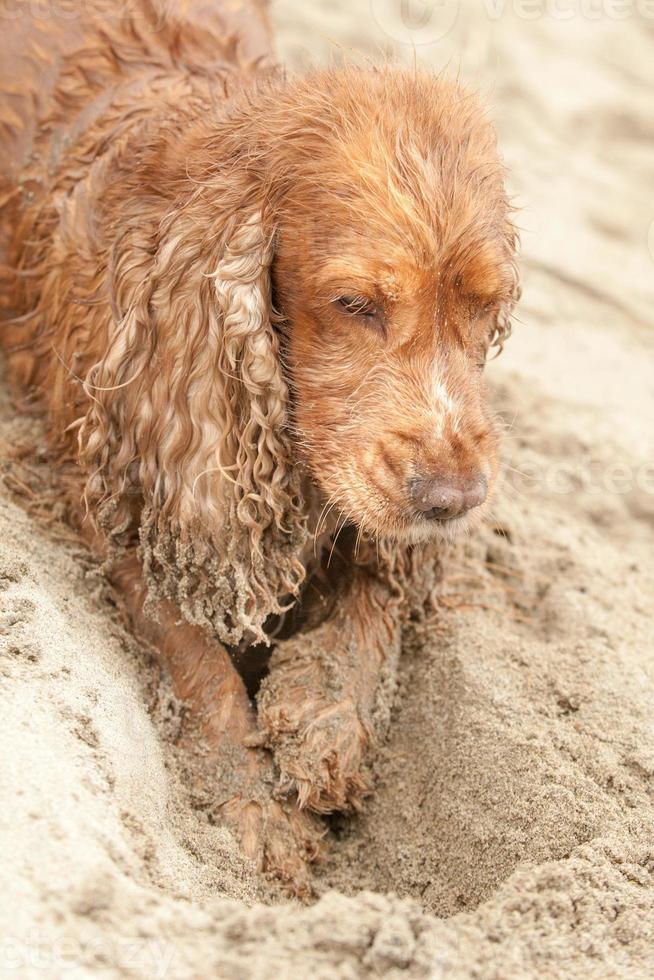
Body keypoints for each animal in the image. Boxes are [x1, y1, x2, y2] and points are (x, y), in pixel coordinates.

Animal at [0, 0, 524, 892]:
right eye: (354, 304)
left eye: (485, 308)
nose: (452, 500)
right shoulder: (119, 487)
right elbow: (192, 652)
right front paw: (250, 803)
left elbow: (371, 605)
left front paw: (325, 722)